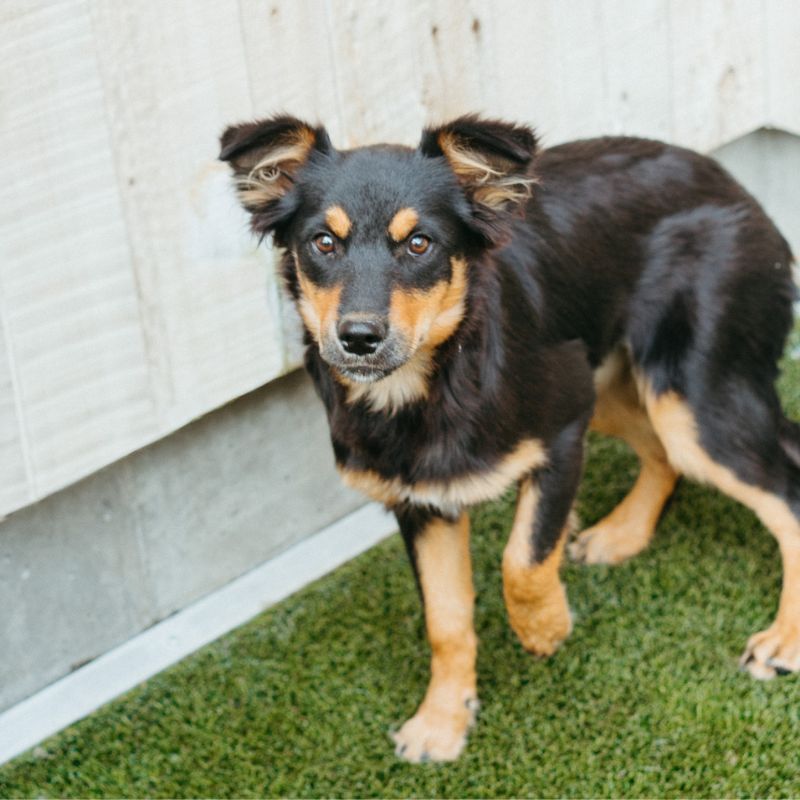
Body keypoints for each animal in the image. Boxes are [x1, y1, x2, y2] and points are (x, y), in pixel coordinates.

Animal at [219, 114, 800, 763]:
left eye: (419, 245)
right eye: (323, 243)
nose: (359, 338)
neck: (430, 385)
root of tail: (730, 183)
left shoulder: (564, 433)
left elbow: (522, 559)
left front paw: (544, 627)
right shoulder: (421, 501)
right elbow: (445, 619)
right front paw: (443, 719)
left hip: (689, 399)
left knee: (785, 493)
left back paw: (784, 640)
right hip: (612, 382)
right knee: (664, 455)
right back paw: (621, 533)